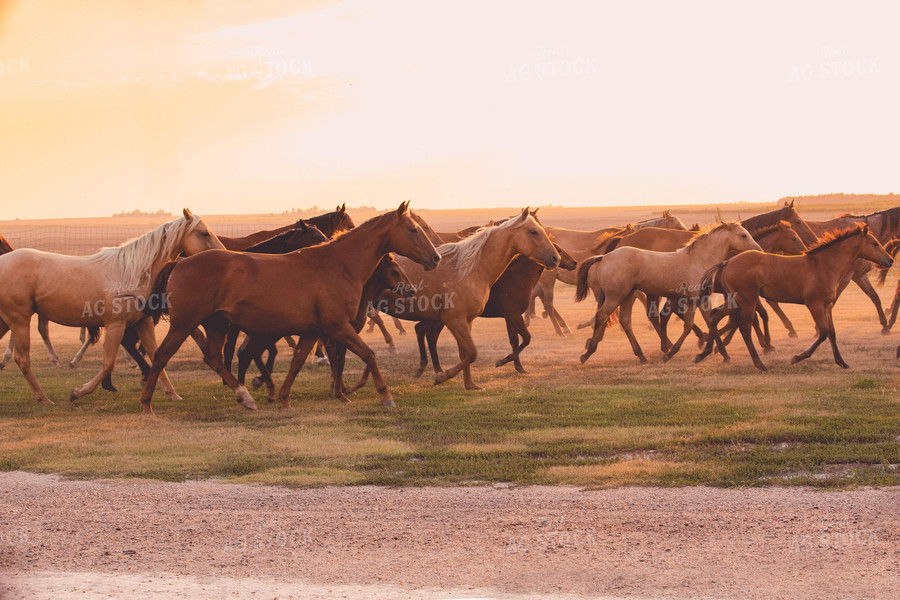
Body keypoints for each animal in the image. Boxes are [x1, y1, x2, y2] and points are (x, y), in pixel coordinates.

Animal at [0, 210, 223, 404]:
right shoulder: (115, 325)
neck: (130, 273)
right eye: (204, 232)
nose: (223, 253)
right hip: (19, 320)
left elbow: (156, 355)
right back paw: (43, 398)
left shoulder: (143, 323)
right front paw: (79, 392)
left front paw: (173, 394)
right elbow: (109, 363)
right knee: (23, 359)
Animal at [136, 202, 440, 412]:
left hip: (216, 325)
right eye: (413, 229)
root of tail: (179, 262)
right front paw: (385, 395)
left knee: (214, 358)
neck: (338, 265)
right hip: (184, 324)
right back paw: (148, 403)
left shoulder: (312, 331)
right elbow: (368, 354)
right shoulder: (338, 327)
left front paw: (283, 397)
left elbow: (297, 362)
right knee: (161, 356)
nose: (436, 257)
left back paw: (244, 396)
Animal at [378, 210, 556, 390]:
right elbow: (472, 353)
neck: (468, 270)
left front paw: (470, 385)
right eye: (533, 231)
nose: (556, 258)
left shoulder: (467, 320)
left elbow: (466, 354)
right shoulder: (456, 320)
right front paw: (443, 377)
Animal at [696, 225, 892, 370]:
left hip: (735, 300)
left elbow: (832, 333)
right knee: (744, 327)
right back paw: (760, 364)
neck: (823, 265)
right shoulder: (814, 304)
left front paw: (841, 362)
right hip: (748, 300)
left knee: (715, 315)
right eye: (875, 244)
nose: (889, 260)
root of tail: (727, 262)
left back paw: (707, 352)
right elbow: (823, 332)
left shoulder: (827, 305)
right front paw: (797, 357)